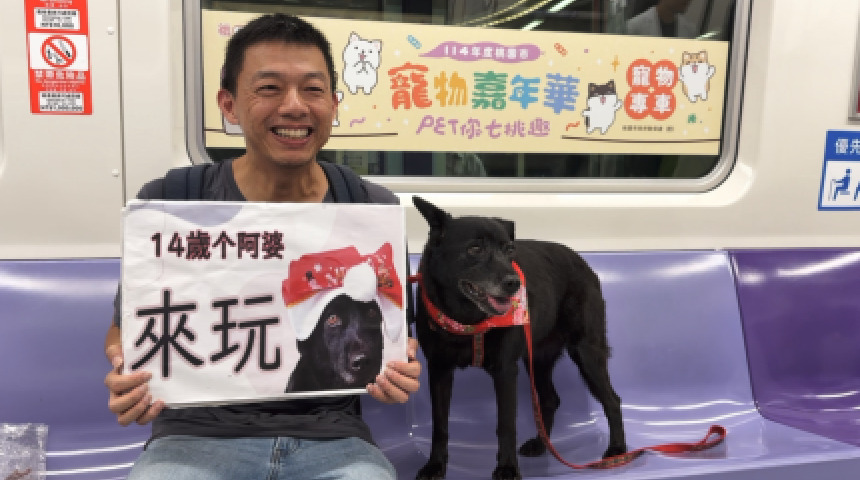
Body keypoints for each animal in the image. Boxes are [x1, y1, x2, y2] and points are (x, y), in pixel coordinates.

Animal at [412, 197, 627, 480]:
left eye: (509, 249)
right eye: (475, 248)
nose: (514, 283)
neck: (468, 320)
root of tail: (582, 261)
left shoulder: (505, 370)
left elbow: (506, 424)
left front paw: (507, 468)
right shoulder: (439, 369)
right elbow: (440, 425)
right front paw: (435, 466)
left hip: (586, 351)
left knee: (612, 399)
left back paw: (617, 450)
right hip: (538, 358)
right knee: (550, 399)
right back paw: (540, 444)